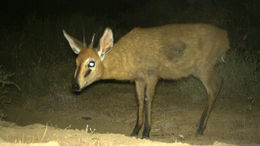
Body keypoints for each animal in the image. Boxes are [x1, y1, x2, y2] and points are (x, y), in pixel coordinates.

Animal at [63, 23, 230, 138]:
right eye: (76, 61)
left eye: (91, 63)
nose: (75, 86)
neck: (130, 53)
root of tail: (225, 37)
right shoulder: (138, 79)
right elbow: (139, 101)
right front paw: (134, 131)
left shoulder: (152, 75)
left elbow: (148, 99)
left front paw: (146, 133)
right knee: (219, 83)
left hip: (204, 69)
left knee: (216, 85)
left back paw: (200, 129)